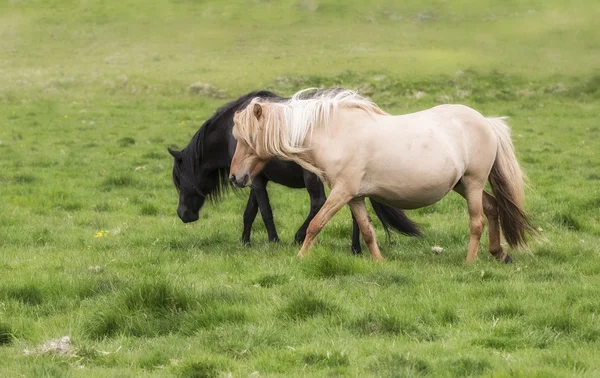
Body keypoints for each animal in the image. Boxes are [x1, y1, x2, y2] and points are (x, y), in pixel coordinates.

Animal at [166, 90, 418, 252]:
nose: (183, 214)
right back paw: (355, 248)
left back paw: (300, 237)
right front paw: (245, 241)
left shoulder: (255, 179)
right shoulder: (253, 178)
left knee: (318, 203)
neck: (229, 133)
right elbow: (250, 211)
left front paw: (274, 241)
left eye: (180, 181)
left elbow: (265, 211)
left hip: (316, 178)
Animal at [229, 89, 536, 262]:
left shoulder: (341, 192)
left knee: (477, 222)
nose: (235, 178)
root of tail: (486, 121)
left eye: (248, 138)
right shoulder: (354, 196)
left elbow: (316, 224)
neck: (334, 133)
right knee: (493, 208)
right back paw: (498, 253)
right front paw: (379, 263)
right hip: (462, 185)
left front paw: (300, 257)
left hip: (472, 183)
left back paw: (469, 263)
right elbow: (367, 231)